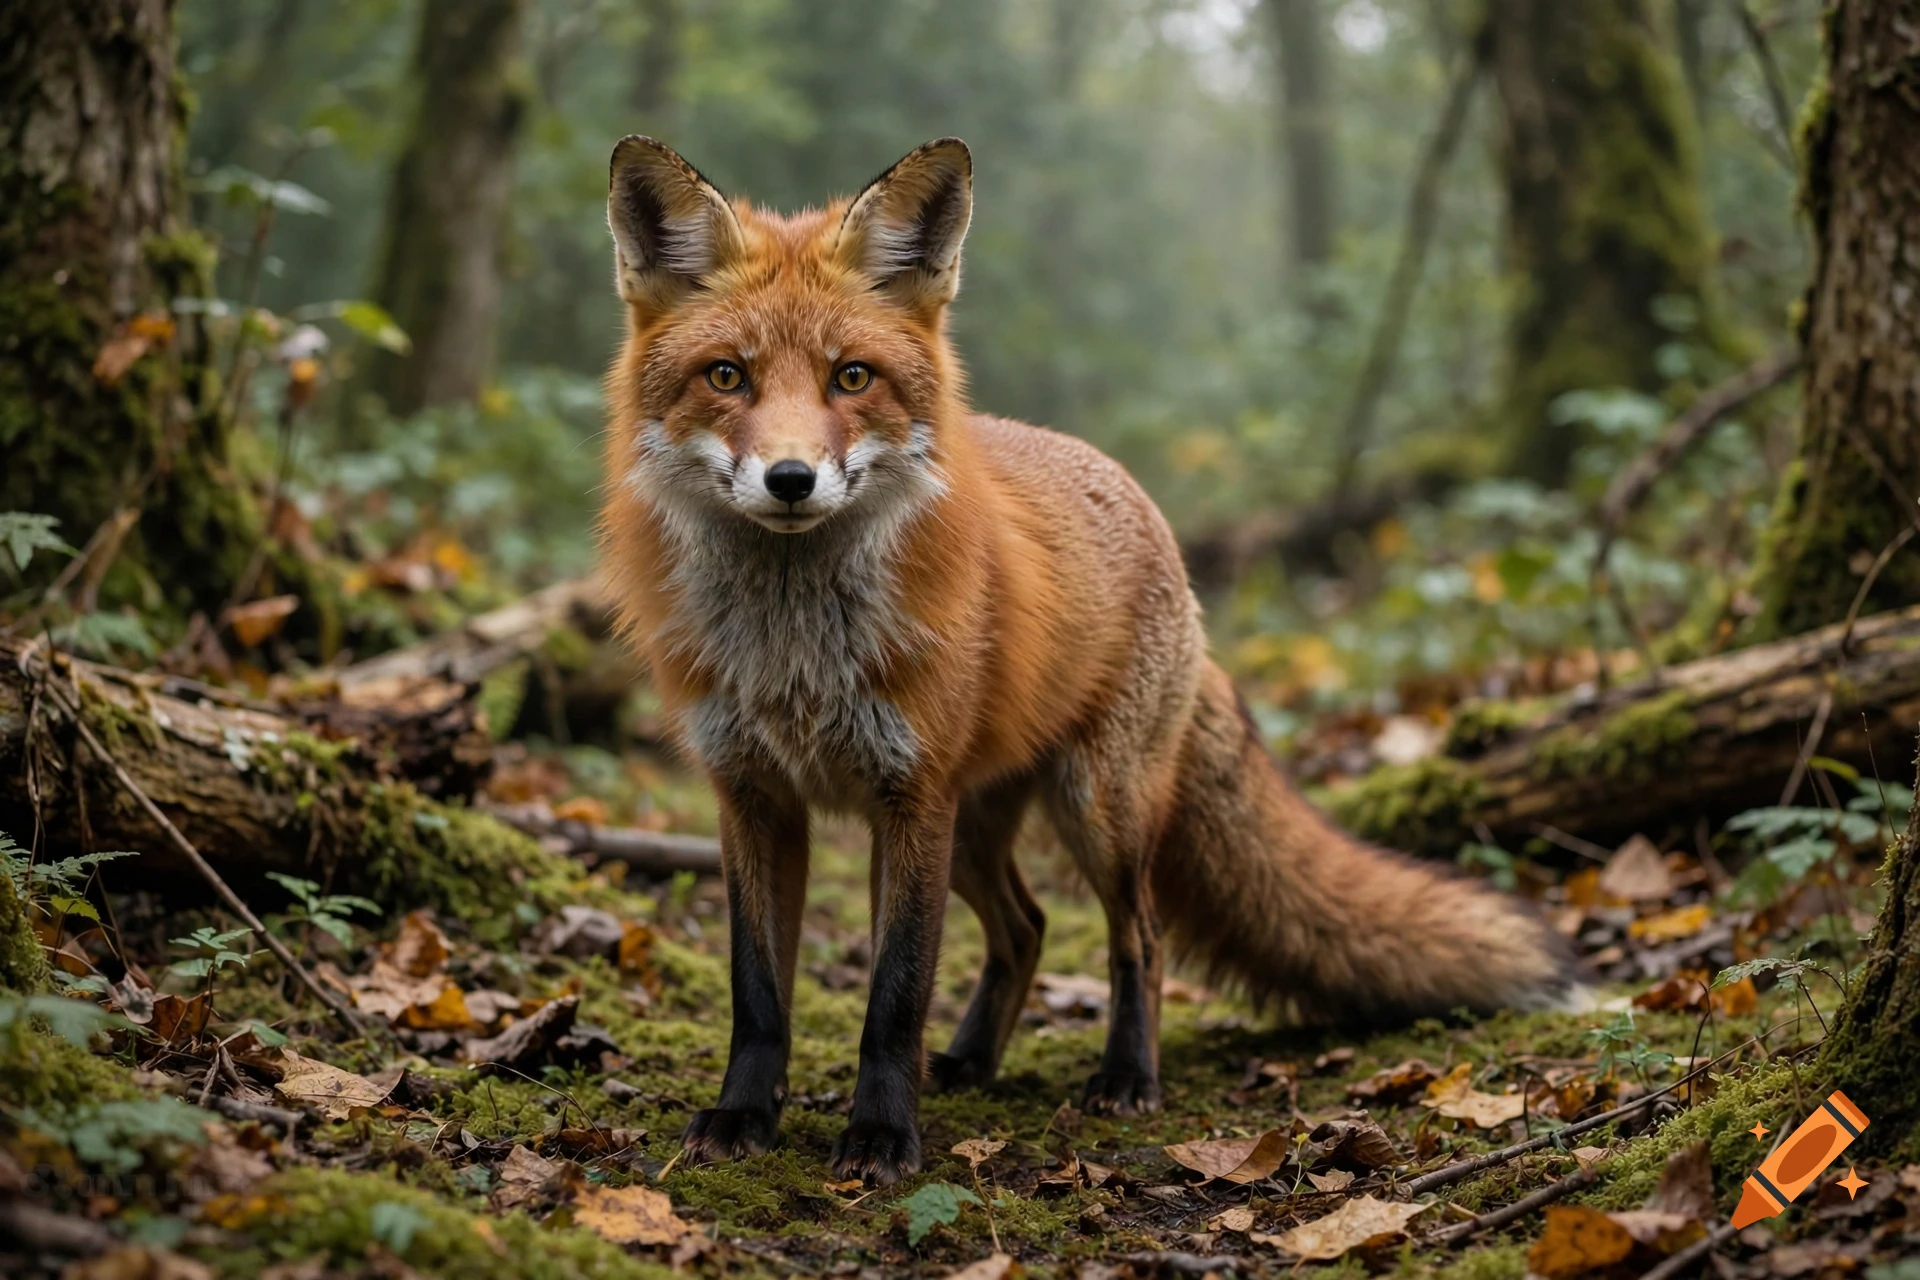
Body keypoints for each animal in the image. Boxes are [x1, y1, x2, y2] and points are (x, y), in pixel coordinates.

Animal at [597, 135, 1581, 1185]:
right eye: (727, 377)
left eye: (852, 379)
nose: (791, 479)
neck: (795, 658)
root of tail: (1148, 512)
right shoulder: (754, 795)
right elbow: (757, 992)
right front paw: (745, 1115)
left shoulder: (910, 796)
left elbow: (894, 997)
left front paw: (882, 1136)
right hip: (977, 830)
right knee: (1026, 929)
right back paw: (971, 1062)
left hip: (1093, 809)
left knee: (1137, 937)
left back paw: (1125, 1076)